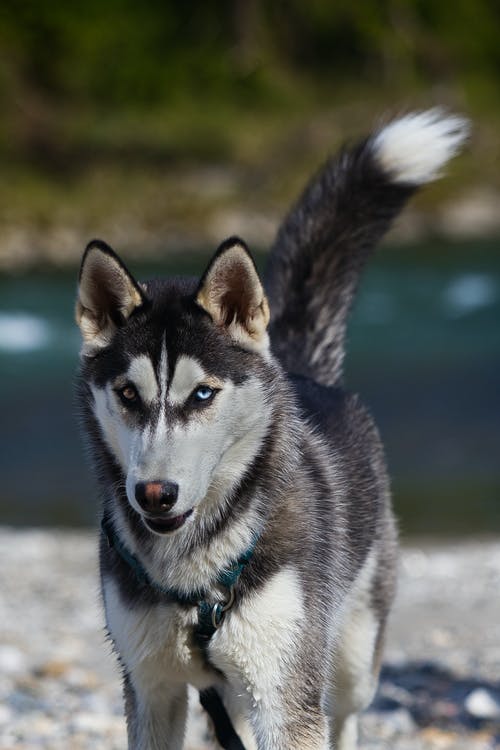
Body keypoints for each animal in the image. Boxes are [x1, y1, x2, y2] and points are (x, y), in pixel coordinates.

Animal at [76, 108, 466, 748]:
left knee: (346, 716)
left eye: (203, 394)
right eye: (128, 395)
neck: (195, 578)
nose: (154, 495)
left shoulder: (285, 696)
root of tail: (304, 369)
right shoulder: (152, 689)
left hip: (350, 659)